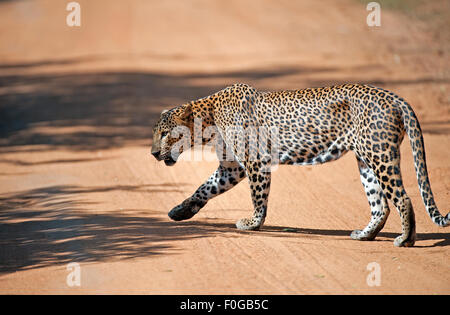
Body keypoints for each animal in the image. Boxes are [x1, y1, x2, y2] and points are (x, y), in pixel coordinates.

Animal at [152, 83, 450, 247]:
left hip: (380, 154)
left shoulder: (255, 161)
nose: (153, 153)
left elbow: (258, 197)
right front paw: (180, 211)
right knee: (380, 204)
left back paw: (405, 240)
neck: (209, 120)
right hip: (365, 160)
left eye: (166, 134)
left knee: (402, 198)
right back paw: (365, 235)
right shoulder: (232, 167)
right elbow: (205, 188)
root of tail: (395, 97)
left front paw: (252, 223)